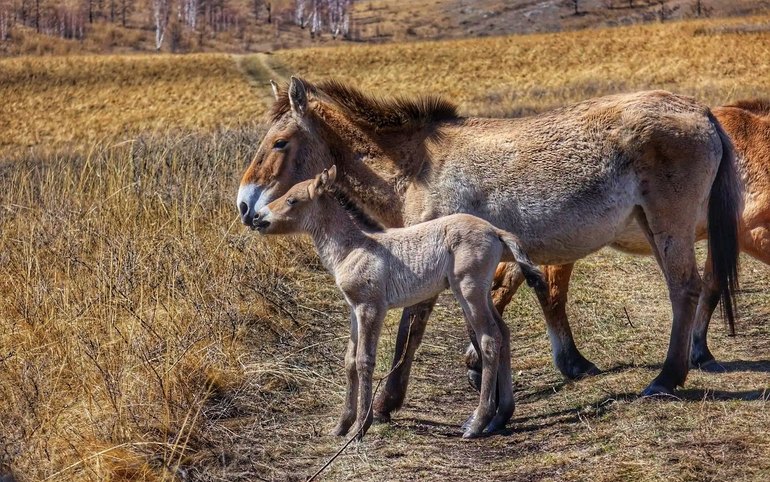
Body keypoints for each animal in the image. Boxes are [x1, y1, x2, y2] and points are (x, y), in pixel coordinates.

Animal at [251, 166, 547, 438]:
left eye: (292, 200)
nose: (256, 217)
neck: (353, 248)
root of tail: (495, 230)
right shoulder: (354, 309)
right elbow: (349, 360)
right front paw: (341, 426)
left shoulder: (371, 308)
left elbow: (364, 361)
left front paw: (360, 428)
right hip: (481, 293)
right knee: (503, 333)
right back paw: (500, 417)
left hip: (469, 291)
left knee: (489, 339)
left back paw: (477, 423)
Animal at [466, 99, 766, 389]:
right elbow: (711, 288)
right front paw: (698, 353)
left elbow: (711, 287)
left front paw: (699, 352)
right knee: (548, 293)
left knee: (507, 286)